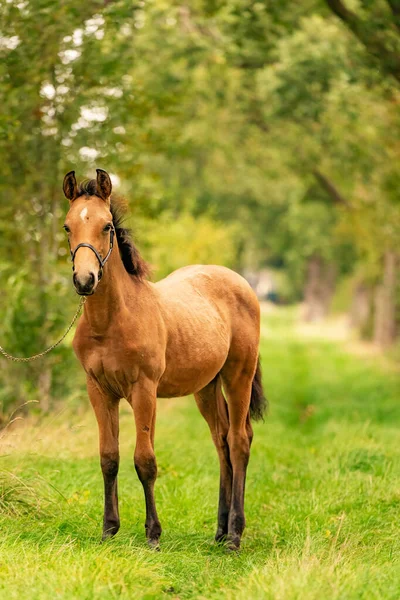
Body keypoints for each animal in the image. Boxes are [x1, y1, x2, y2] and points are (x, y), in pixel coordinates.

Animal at [62, 171, 268, 552]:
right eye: (68, 226)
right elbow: (108, 457)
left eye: (107, 226)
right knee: (221, 442)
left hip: (239, 376)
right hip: (206, 387)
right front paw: (108, 530)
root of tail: (242, 282)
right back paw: (219, 531)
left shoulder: (144, 390)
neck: (112, 321)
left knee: (238, 441)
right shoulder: (99, 390)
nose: (85, 280)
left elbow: (145, 460)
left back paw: (234, 535)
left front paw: (153, 535)